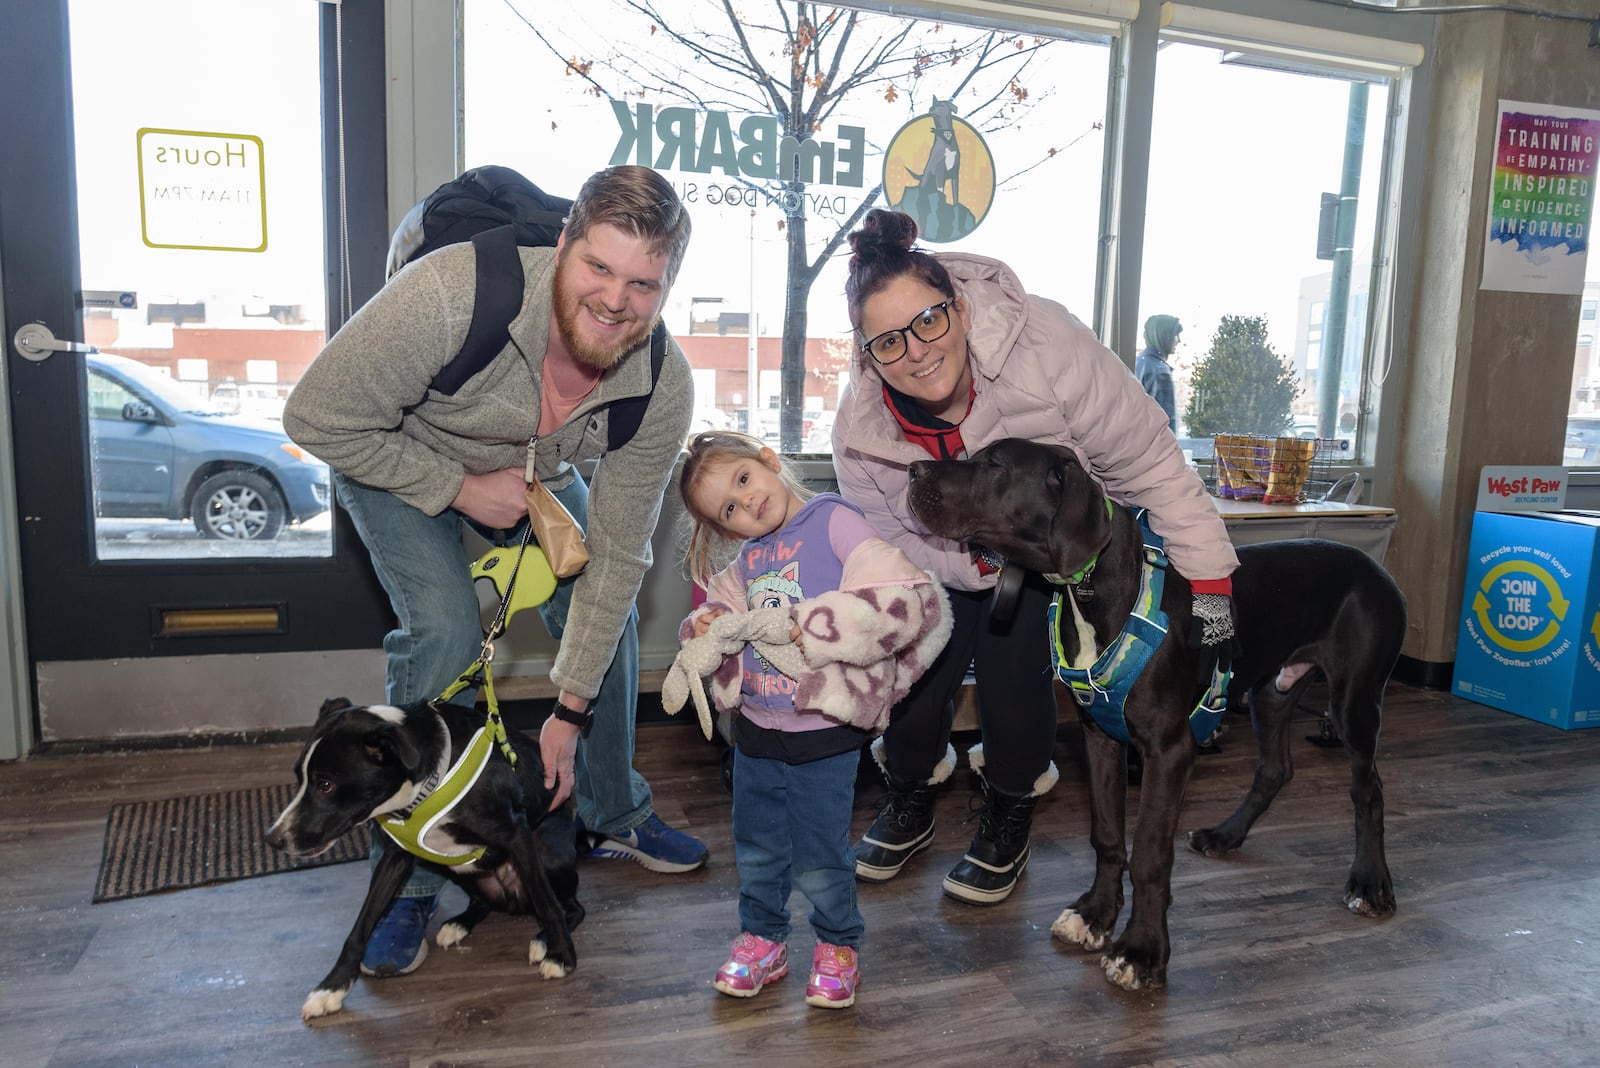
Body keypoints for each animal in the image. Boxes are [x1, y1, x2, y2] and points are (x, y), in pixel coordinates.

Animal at [265, 697, 585, 1023]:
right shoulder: (396, 857)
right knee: (483, 902)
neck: (430, 782)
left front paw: (562, 956)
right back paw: (460, 923)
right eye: (299, 778)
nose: (272, 838)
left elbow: (547, 905)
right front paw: (331, 987)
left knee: (570, 906)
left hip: (547, 852)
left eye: (325, 784)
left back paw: (544, 939)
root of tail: (513, 902)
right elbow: (360, 926)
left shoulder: (518, 836)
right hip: (446, 863)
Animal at [908, 441, 1408, 991]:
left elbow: (1149, 852)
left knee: (1369, 789)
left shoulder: (1169, 752)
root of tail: (1375, 568)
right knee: (1276, 768)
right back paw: (1226, 835)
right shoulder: (1101, 736)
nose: (912, 469)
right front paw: (1096, 915)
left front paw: (1142, 951)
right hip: (1272, 691)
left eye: (995, 464)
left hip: (1355, 701)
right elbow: (1107, 835)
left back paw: (1370, 883)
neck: (1095, 586)